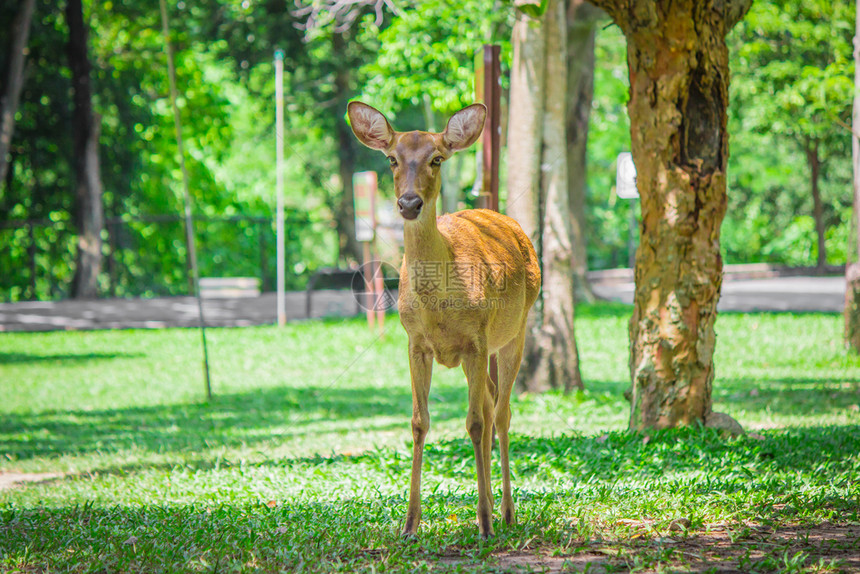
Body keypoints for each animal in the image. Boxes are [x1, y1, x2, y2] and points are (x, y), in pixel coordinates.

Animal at [348, 100, 536, 540]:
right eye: (391, 158)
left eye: (437, 159)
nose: (409, 203)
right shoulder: (415, 342)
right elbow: (420, 422)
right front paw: (410, 524)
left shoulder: (477, 340)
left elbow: (475, 422)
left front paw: (483, 524)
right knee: (490, 401)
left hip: (516, 330)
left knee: (500, 412)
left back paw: (505, 512)